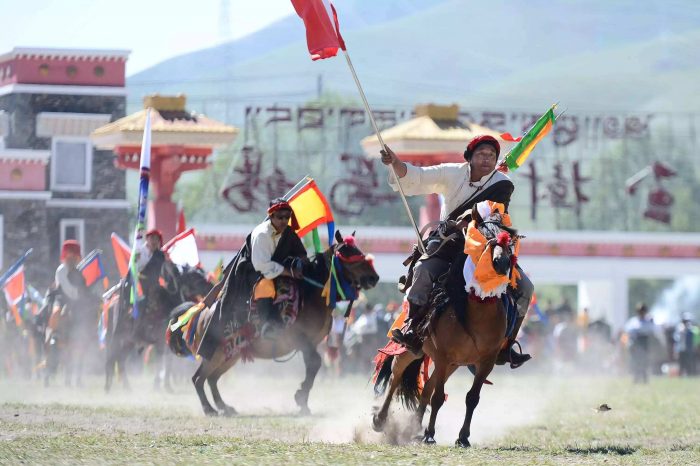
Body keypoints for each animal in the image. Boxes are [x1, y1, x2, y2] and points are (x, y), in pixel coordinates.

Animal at [167, 231, 380, 416]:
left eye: (359, 250)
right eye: (347, 254)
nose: (374, 277)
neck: (311, 294)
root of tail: (201, 312)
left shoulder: (310, 343)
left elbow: (313, 367)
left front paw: (303, 400)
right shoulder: (300, 339)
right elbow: (315, 362)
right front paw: (301, 397)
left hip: (230, 355)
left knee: (211, 379)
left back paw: (224, 407)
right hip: (214, 353)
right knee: (198, 379)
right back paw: (209, 409)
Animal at [372, 208, 520, 448]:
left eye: (509, 243)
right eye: (484, 235)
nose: (502, 263)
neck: (478, 313)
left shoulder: (485, 361)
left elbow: (471, 398)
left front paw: (463, 437)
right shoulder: (442, 356)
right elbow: (438, 397)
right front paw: (430, 434)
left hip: (453, 364)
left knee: (426, 390)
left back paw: (415, 430)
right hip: (414, 351)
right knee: (396, 374)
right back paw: (381, 420)